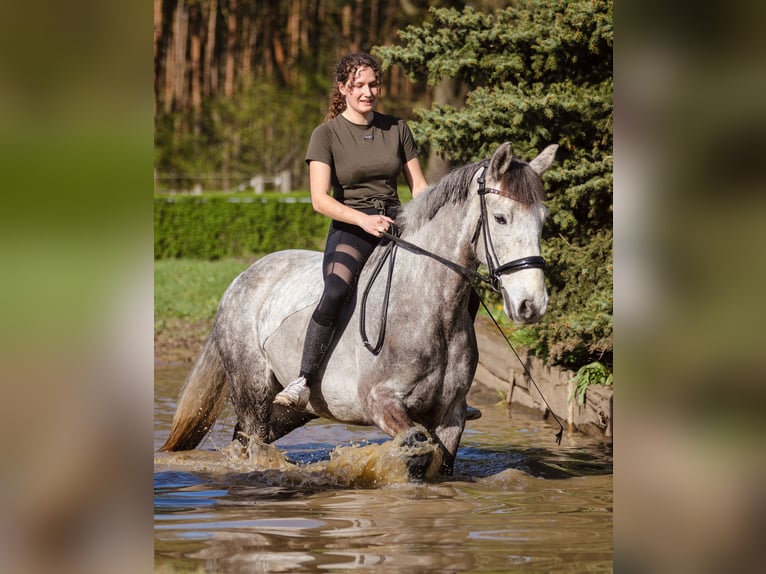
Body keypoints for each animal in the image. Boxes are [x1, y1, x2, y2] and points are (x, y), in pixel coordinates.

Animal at [159, 142, 558, 476]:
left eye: (543, 220)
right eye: (501, 218)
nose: (531, 305)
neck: (428, 308)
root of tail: (241, 278)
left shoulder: (452, 416)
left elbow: (439, 462)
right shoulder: (381, 403)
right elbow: (417, 446)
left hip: (293, 410)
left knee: (246, 438)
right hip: (251, 389)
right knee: (252, 439)